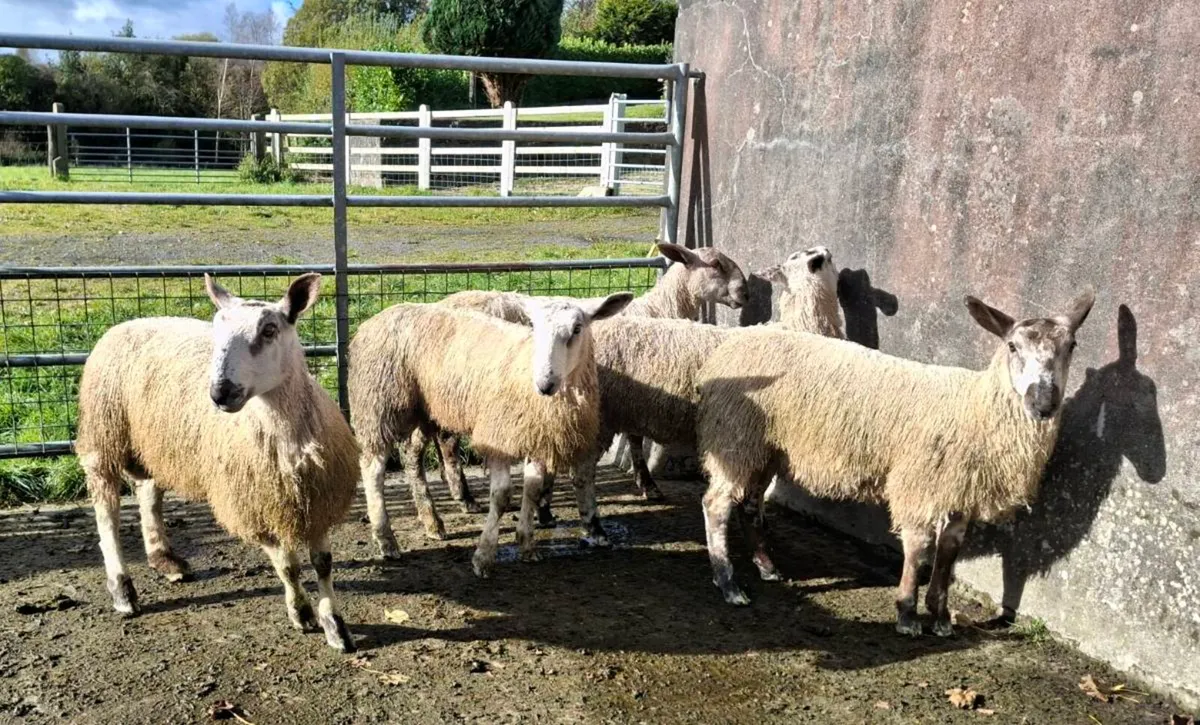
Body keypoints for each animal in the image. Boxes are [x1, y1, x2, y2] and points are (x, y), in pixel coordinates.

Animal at [74, 273, 359, 652]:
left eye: (269, 330)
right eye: (217, 329)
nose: (220, 392)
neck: (286, 438)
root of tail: (131, 321)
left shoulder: (319, 499)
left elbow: (323, 565)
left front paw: (335, 626)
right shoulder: (253, 504)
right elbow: (288, 567)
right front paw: (301, 612)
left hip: (155, 443)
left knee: (148, 492)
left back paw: (164, 559)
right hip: (103, 432)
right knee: (107, 512)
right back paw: (122, 589)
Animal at [348, 293, 633, 572]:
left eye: (577, 328)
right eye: (535, 327)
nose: (544, 383)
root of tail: (371, 321)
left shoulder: (537, 437)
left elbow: (532, 489)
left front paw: (527, 544)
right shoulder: (498, 436)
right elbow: (503, 495)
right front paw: (483, 556)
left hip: (424, 408)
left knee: (411, 457)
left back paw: (432, 522)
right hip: (380, 403)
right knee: (372, 468)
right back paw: (385, 539)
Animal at [693, 287, 1095, 638]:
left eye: (1071, 346)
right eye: (1013, 346)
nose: (1043, 403)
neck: (974, 408)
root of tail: (734, 342)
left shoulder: (960, 492)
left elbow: (948, 551)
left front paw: (941, 618)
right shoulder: (918, 481)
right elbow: (918, 547)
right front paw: (908, 616)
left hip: (765, 447)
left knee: (751, 503)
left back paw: (766, 566)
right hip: (735, 437)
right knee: (716, 504)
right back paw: (728, 583)